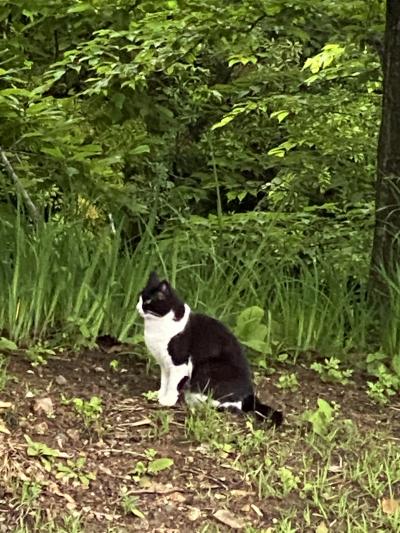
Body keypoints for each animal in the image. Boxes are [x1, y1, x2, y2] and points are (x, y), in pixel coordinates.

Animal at [136, 272, 282, 426]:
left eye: (147, 301)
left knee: (230, 405)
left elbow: (172, 384)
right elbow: (165, 381)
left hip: (207, 368)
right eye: (139, 298)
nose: (137, 307)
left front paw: (168, 400)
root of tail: (249, 395)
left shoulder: (179, 364)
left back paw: (196, 401)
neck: (156, 326)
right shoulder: (164, 364)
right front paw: (160, 394)